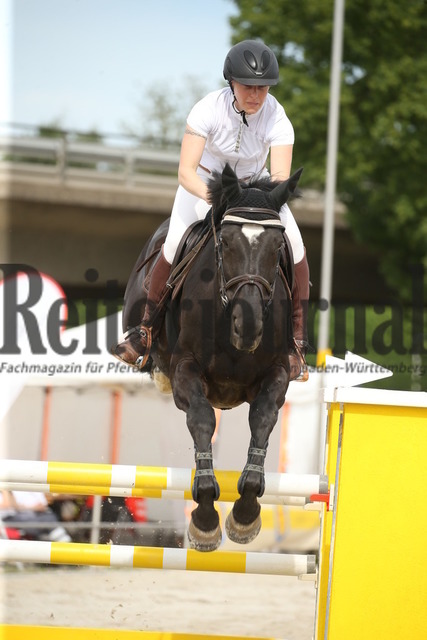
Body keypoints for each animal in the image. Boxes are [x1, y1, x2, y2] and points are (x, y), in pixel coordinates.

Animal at [121, 163, 303, 551]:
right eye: (227, 242)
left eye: (278, 246)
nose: (248, 328)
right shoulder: (185, 371)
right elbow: (203, 419)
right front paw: (204, 521)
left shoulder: (277, 372)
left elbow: (262, 419)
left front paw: (245, 515)